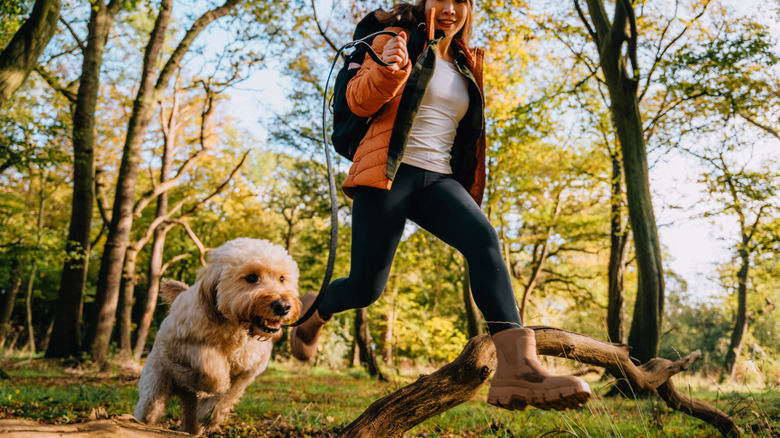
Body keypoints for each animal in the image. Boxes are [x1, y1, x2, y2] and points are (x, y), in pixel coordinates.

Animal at [134, 238, 298, 436]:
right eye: (251, 278)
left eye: (282, 278)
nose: (283, 306)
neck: (236, 327)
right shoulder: (179, 344)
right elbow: (214, 369)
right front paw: (209, 388)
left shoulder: (249, 369)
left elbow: (230, 391)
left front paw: (210, 414)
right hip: (154, 390)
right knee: (148, 411)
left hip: (187, 404)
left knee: (191, 421)